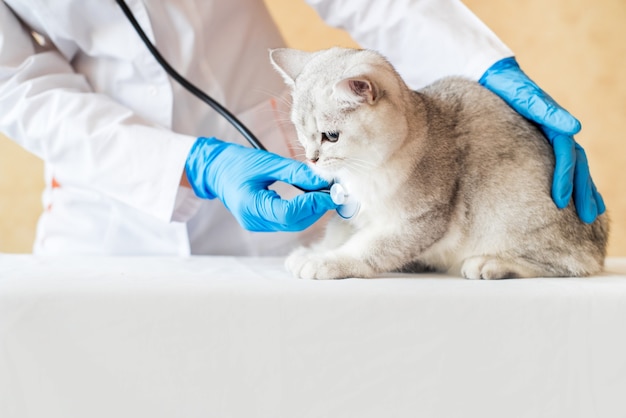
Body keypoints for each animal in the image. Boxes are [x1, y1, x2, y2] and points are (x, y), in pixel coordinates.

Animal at [266, 46, 604, 280]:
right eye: (300, 131)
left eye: (331, 136)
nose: (312, 158)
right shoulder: (351, 212)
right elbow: (338, 232)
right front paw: (316, 251)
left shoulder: (421, 218)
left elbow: (369, 247)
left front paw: (328, 261)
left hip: (508, 211)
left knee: (574, 264)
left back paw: (494, 263)